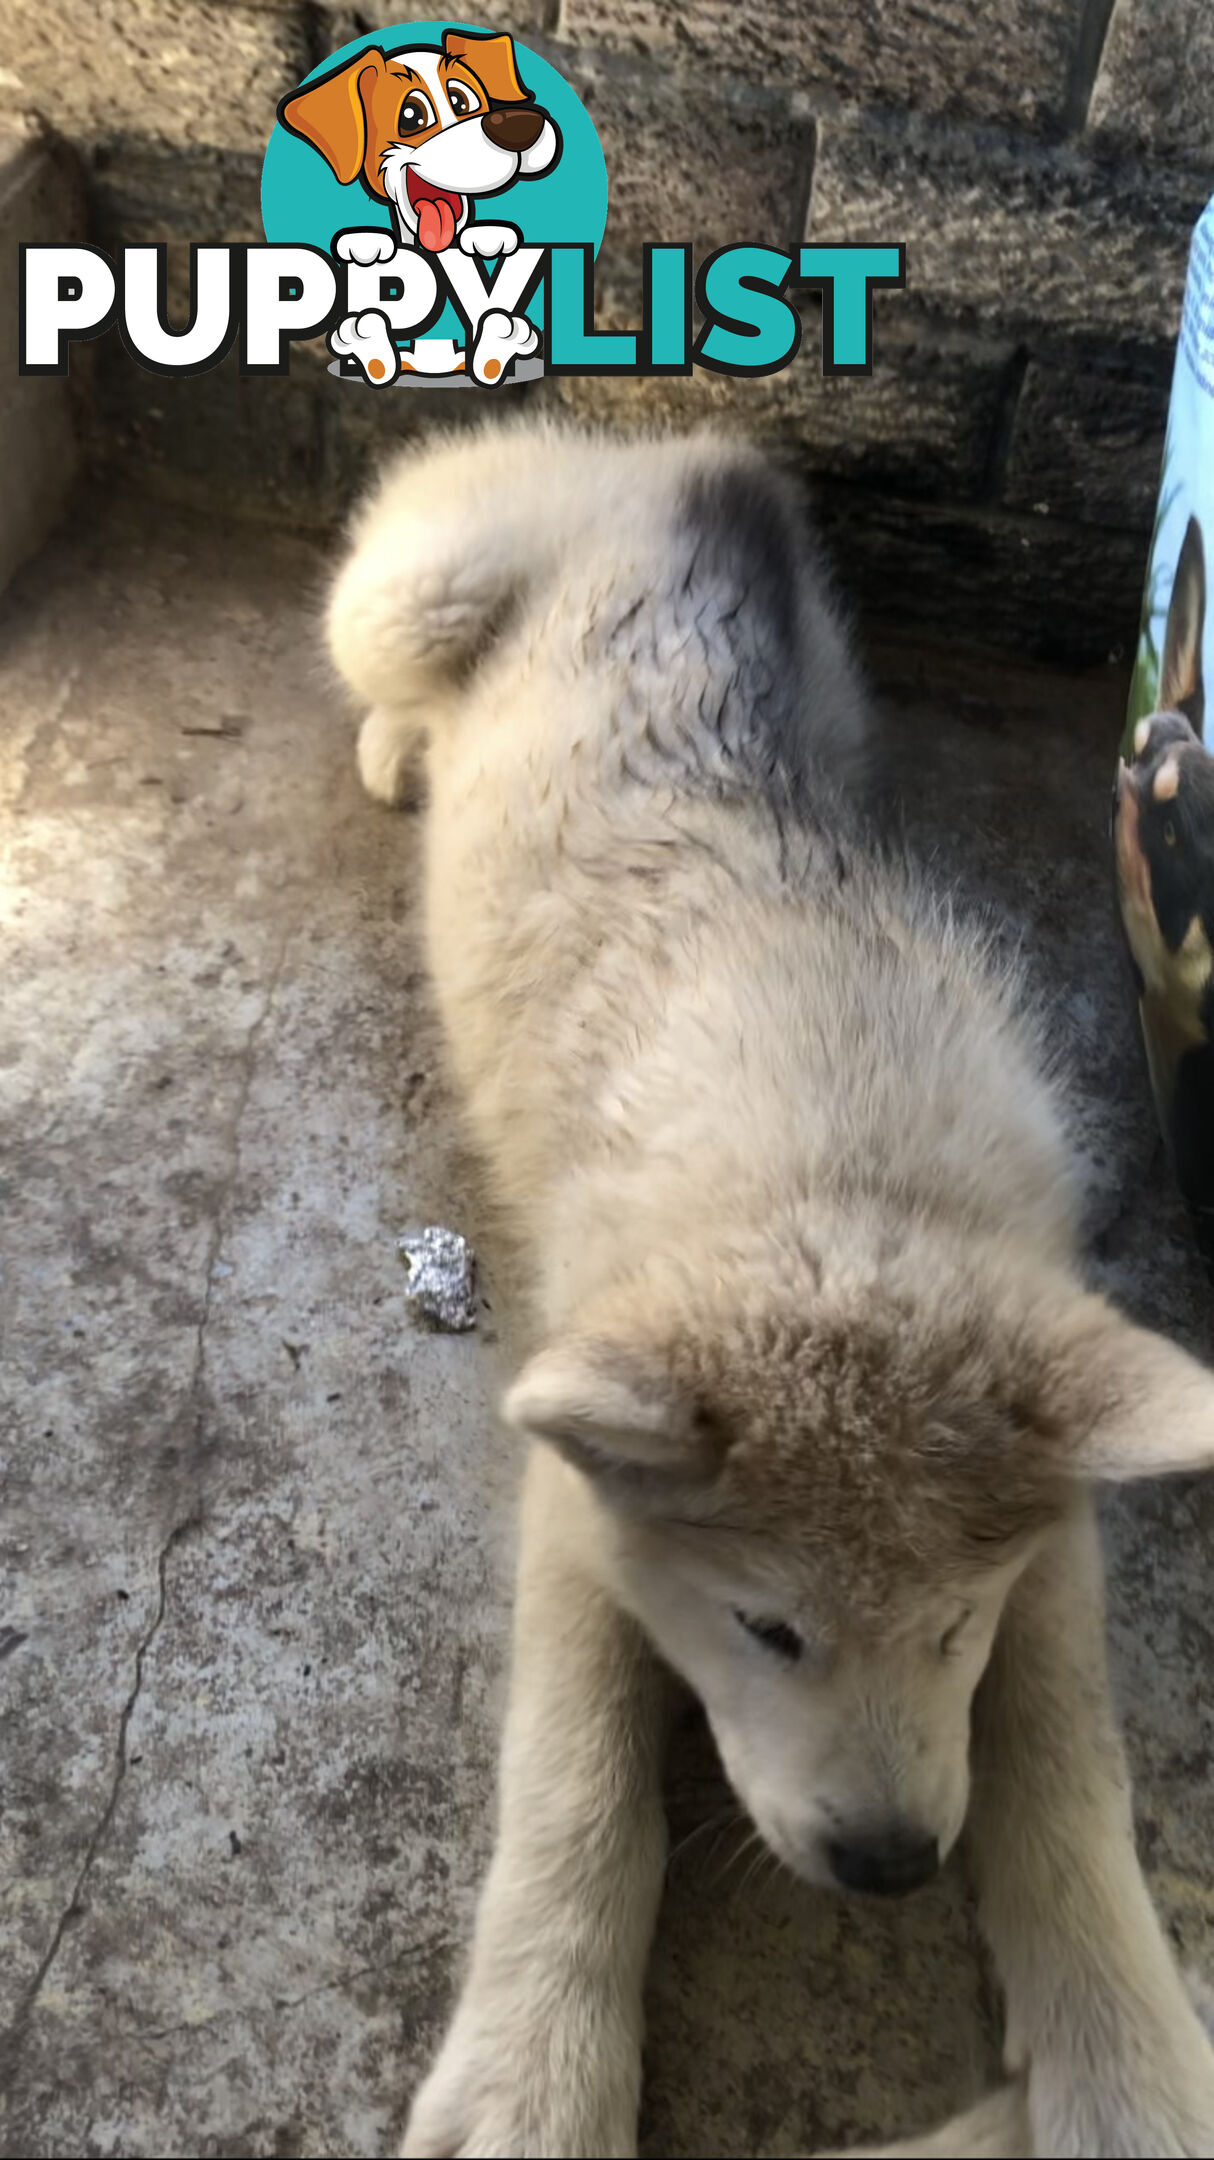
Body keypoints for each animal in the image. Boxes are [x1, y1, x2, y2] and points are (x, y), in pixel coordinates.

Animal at [326, 421, 1209, 2160]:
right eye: (765, 1629)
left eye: (949, 1625)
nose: (888, 1868)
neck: (837, 1174)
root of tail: (647, 454)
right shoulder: (574, 1493)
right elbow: (578, 1777)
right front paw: (534, 2080)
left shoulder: (1050, 1522)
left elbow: (1066, 1759)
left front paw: (1128, 2066)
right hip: (406, 587)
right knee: (379, 664)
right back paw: (404, 749)